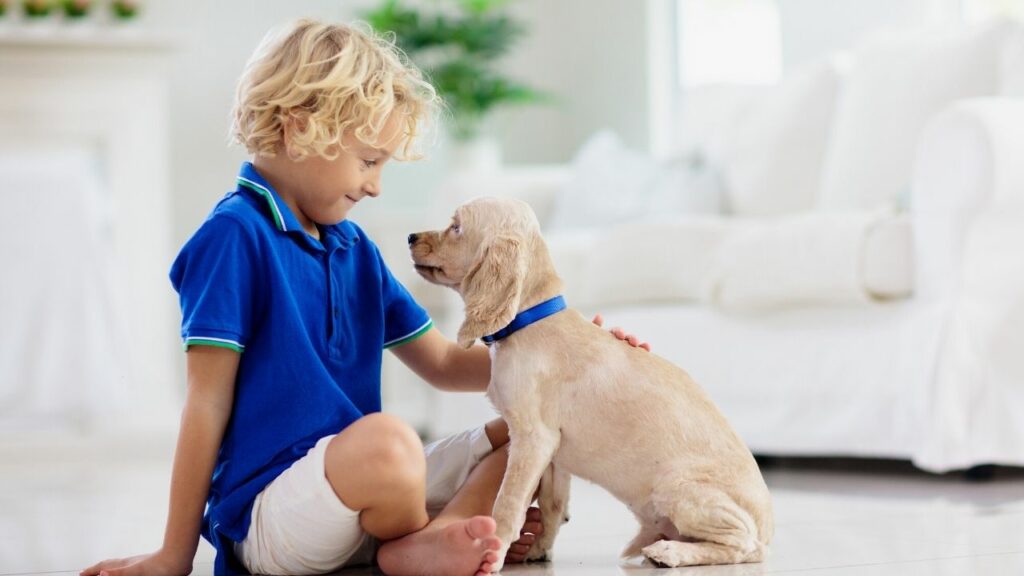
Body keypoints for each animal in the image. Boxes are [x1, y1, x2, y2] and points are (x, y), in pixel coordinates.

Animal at [405, 196, 770, 569]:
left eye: (456, 227)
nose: (410, 237)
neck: (529, 320)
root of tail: (767, 529)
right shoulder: (553, 450)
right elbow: (552, 506)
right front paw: (539, 550)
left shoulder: (533, 437)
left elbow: (507, 505)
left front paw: (492, 556)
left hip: (678, 487)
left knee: (743, 545)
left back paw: (670, 551)